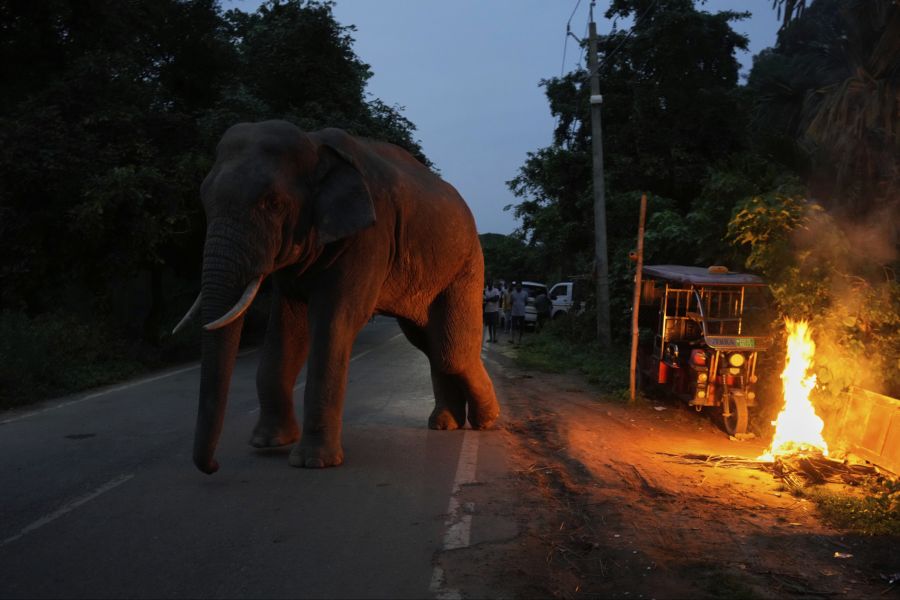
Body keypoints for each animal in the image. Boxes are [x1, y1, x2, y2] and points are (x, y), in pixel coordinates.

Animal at [174, 120, 499, 474]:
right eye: (204, 200)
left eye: (273, 203)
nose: (213, 466)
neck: (314, 144)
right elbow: (286, 331)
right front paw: (267, 442)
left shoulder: (369, 236)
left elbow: (334, 321)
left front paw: (312, 462)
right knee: (431, 346)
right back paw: (445, 424)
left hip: (466, 267)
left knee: (450, 351)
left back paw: (486, 422)